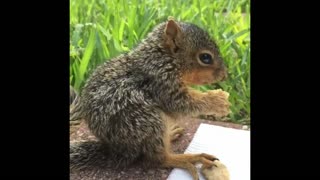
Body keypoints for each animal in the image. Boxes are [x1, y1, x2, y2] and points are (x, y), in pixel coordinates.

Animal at [69, 17, 230, 180]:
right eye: (205, 57)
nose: (224, 75)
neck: (161, 58)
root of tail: (116, 151)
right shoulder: (162, 83)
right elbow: (181, 104)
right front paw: (217, 101)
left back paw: (171, 135)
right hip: (147, 121)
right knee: (157, 159)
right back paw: (188, 158)